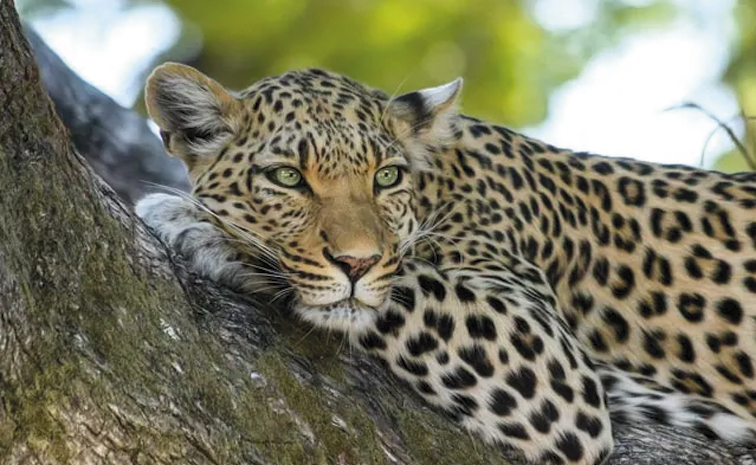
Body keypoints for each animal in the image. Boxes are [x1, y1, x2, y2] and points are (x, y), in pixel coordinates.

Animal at [135, 62, 756, 465]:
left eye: (386, 177)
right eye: (288, 177)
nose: (356, 262)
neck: (438, 185)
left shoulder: (550, 362)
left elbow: (402, 285)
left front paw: (199, 225)